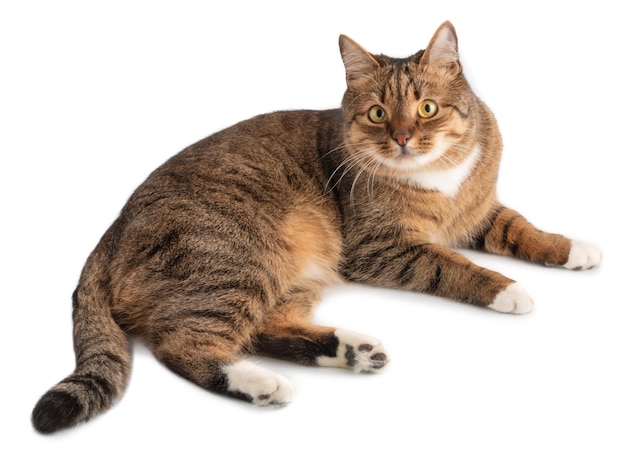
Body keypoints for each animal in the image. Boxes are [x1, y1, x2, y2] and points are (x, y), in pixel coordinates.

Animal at [31, 21, 596, 434]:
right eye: (377, 114)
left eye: (428, 108)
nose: (404, 137)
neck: (437, 172)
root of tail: (110, 233)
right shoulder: (381, 248)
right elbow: (450, 264)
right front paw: (508, 288)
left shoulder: (479, 213)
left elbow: (520, 228)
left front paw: (574, 248)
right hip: (240, 259)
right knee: (184, 343)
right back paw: (261, 384)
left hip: (286, 275)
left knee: (265, 328)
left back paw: (352, 350)